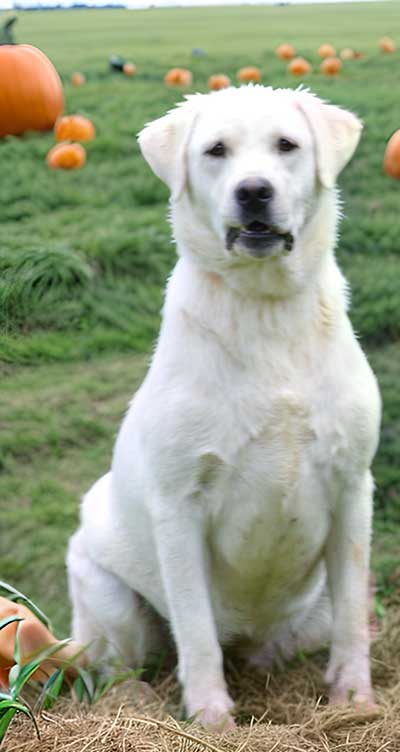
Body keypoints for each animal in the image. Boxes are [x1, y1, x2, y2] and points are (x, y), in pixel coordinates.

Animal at [69, 85, 382, 724]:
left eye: (287, 145)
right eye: (216, 151)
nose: (253, 191)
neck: (265, 312)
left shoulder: (352, 488)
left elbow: (352, 617)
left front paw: (353, 696)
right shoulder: (179, 508)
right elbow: (195, 630)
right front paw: (212, 717)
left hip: (305, 615)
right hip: (107, 595)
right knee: (118, 667)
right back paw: (136, 697)